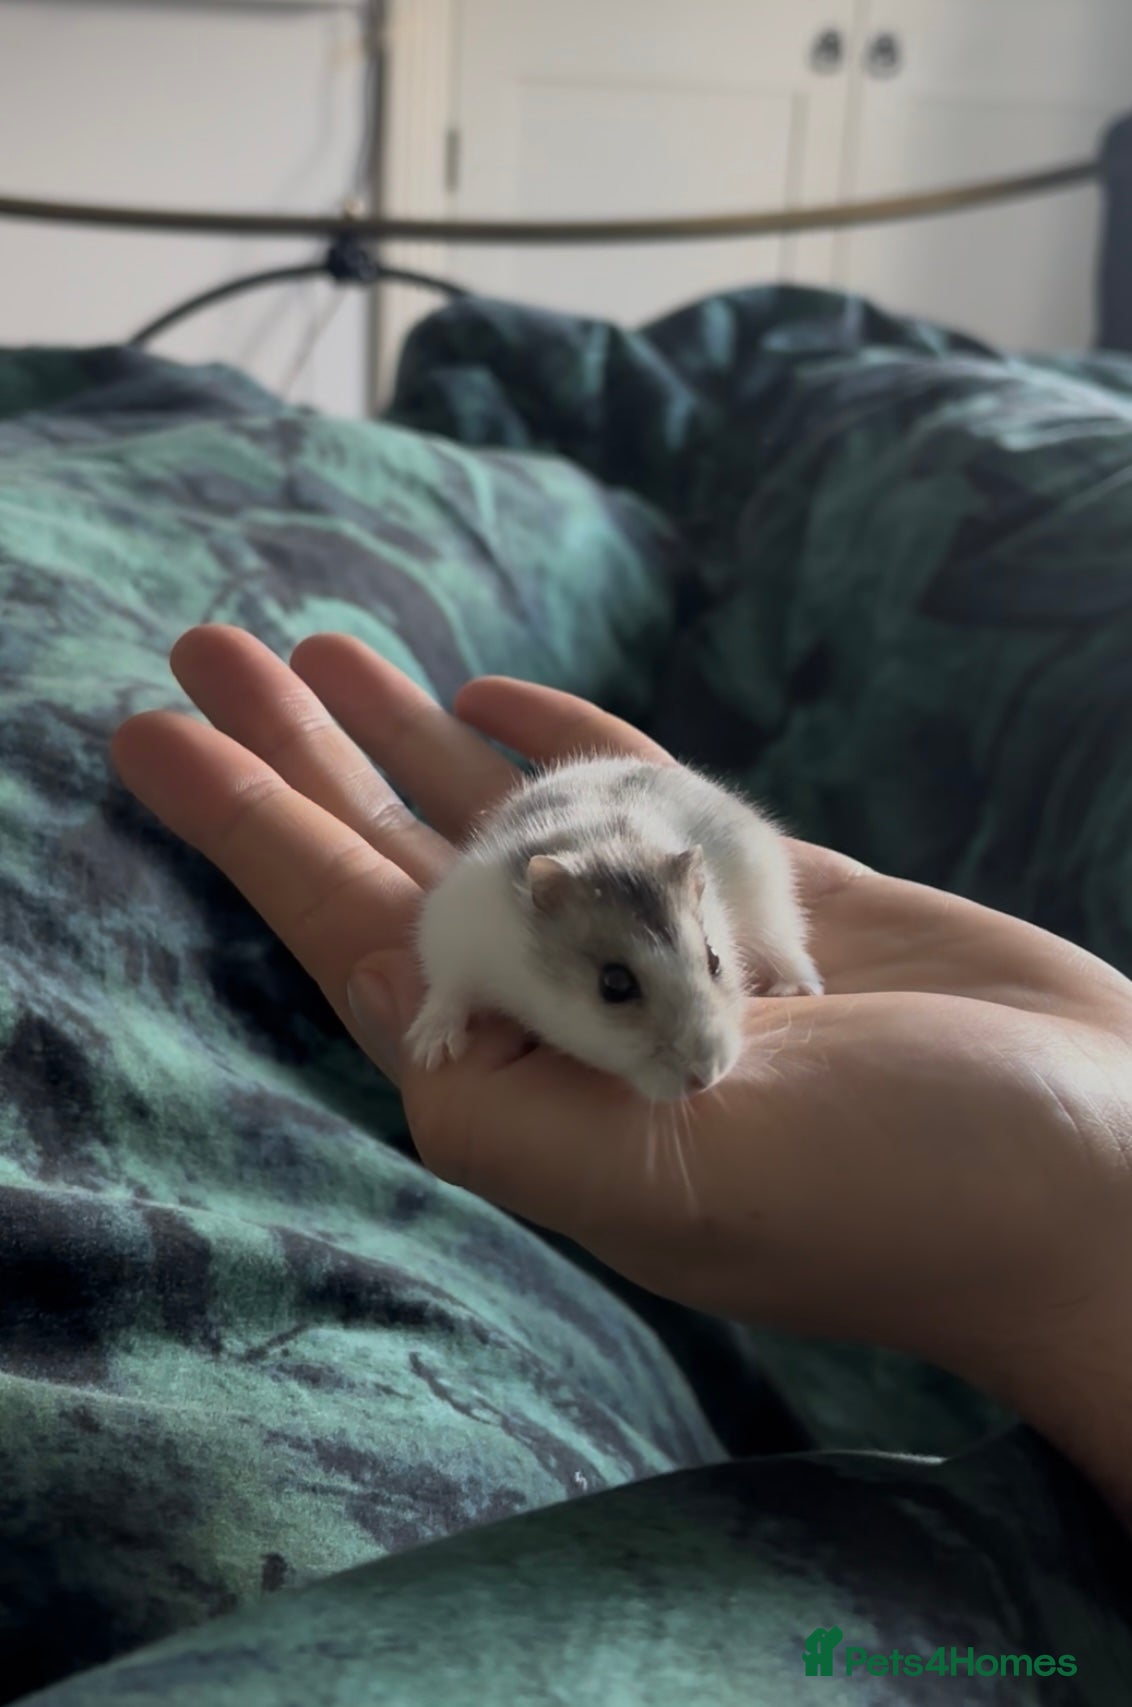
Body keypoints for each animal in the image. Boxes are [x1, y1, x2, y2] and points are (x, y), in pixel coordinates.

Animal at [405, 754, 822, 1104]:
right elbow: (448, 992)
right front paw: (431, 1053)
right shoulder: (454, 931)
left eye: (715, 959)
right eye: (615, 984)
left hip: (768, 900)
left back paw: (797, 990)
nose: (707, 1078)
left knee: (787, 948)